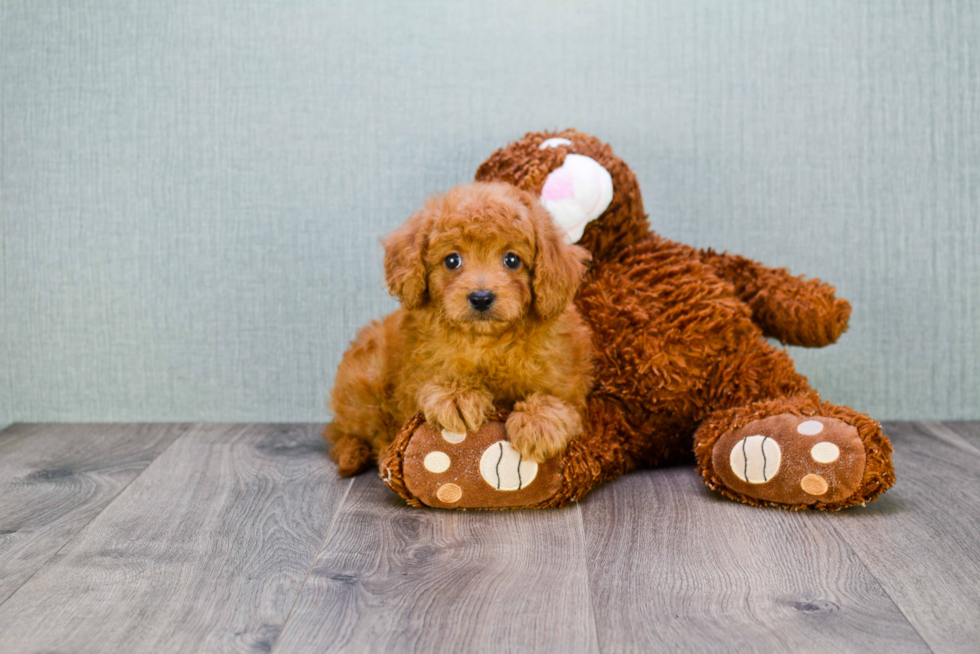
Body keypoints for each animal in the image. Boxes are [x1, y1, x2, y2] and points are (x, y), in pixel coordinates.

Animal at [326, 182, 592, 480]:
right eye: (452, 260)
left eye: (512, 260)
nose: (481, 297)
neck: (488, 340)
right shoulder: (415, 380)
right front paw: (457, 396)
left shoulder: (567, 386)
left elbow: (560, 405)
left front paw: (538, 423)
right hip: (364, 382)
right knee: (348, 432)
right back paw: (359, 454)